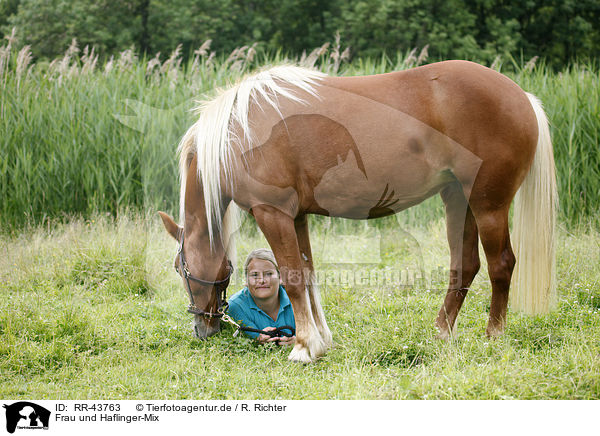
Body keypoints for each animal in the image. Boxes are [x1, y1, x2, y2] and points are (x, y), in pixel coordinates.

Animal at [159, 60, 556, 362]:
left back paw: (494, 336)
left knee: (501, 264)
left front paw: (303, 348)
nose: (202, 328)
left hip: (489, 205)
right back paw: (441, 334)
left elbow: (292, 277)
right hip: (459, 200)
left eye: (181, 268)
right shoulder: (297, 217)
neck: (240, 133)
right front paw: (320, 341)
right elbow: (307, 274)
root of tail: (521, 96)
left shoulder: (273, 214)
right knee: (465, 266)